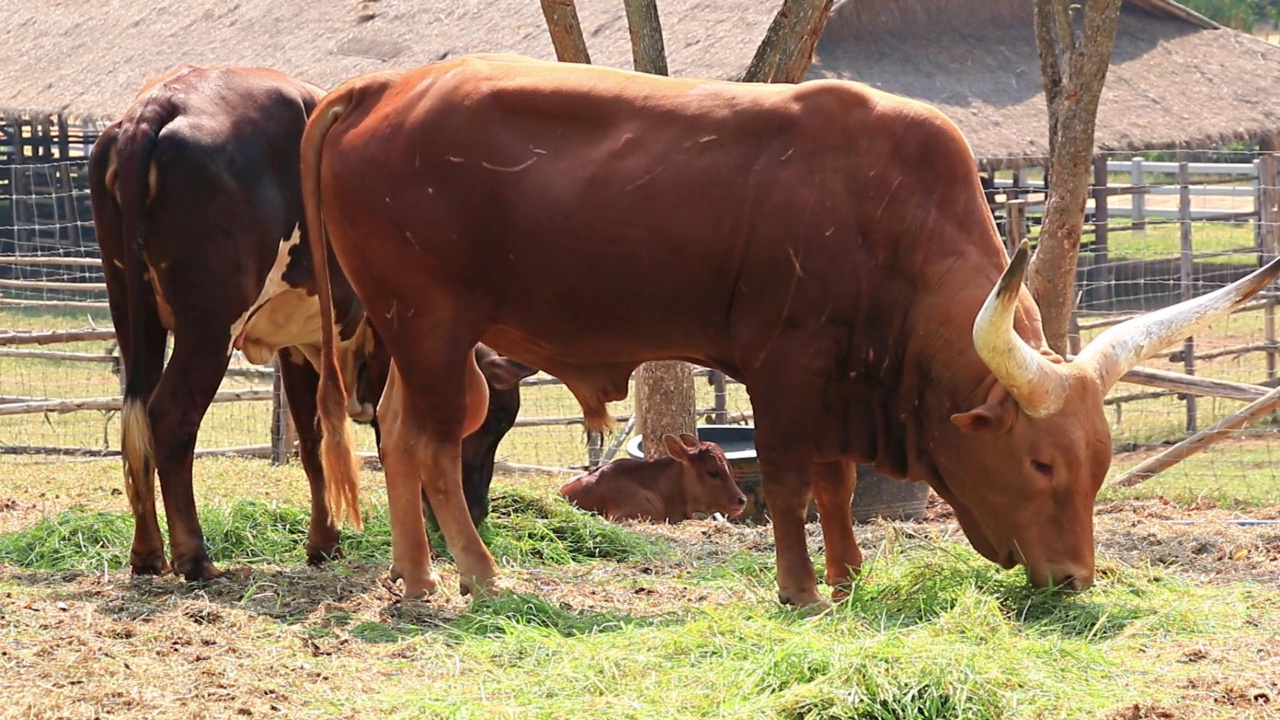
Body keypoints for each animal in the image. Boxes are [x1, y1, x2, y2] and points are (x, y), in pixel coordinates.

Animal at [83, 65, 535, 584]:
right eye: (493, 421)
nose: (478, 511)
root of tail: (162, 101)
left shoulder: (297, 344)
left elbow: (312, 439)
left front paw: (324, 541)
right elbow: (391, 433)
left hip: (132, 313)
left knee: (134, 418)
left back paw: (147, 553)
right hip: (209, 327)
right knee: (170, 415)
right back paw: (194, 557)